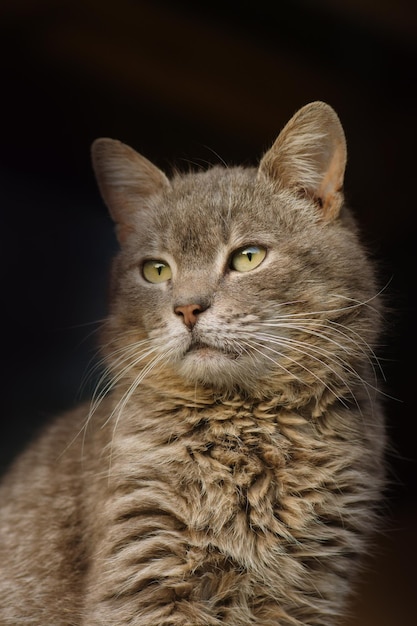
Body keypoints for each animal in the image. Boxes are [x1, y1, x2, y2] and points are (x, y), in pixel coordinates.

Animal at [0, 100, 384, 620]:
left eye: (247, 257)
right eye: (156, 270)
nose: (187, 308)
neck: (246, 428)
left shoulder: (311, 591)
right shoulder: (147, 576)